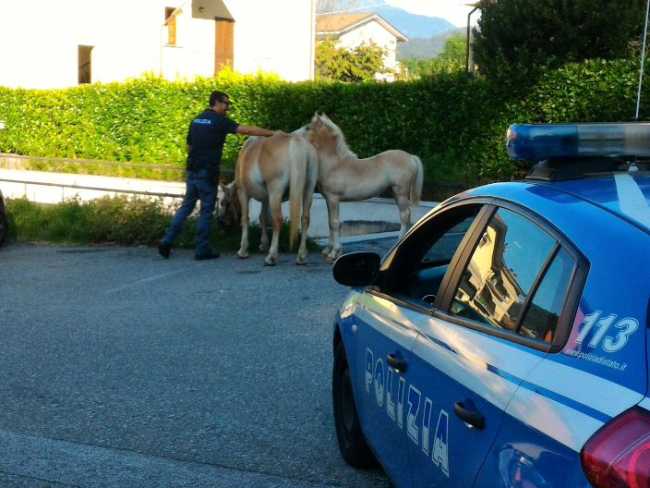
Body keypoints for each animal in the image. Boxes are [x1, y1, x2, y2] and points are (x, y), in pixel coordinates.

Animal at [218, 132, 318, 266]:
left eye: (224, 202)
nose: (221, 222)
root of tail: (296, 143)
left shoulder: (243, 193)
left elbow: (245, 218)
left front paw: (243, 250)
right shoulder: (266, 198)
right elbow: (263, 217)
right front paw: (264, 244)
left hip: (275, 192)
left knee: (278, 220)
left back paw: (271, 256)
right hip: (308, 189)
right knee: (305, 219)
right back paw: (301, 256)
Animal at [303, 113, 423, 262]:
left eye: (308, 128)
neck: (335, 165)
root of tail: (411, 157)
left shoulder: (333, 199)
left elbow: (334, 223)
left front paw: (334, 253)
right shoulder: (328, 199)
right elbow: (330, 223)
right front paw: (328, 251)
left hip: (401, 192)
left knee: (405, 215)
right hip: (396, 194)